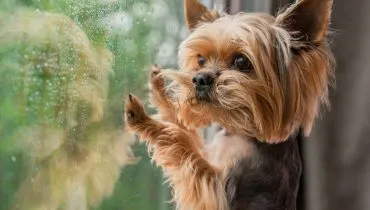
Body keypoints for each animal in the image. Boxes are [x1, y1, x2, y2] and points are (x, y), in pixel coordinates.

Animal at [124, 0, 336, 209]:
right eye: (201, 60)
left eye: (241, 61)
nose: (199, 79)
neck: (238, 131)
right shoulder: (208, 154)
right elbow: (185, 131)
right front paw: (158, 89)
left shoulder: (218, 190)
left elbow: (182, 143)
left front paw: (144, 120)